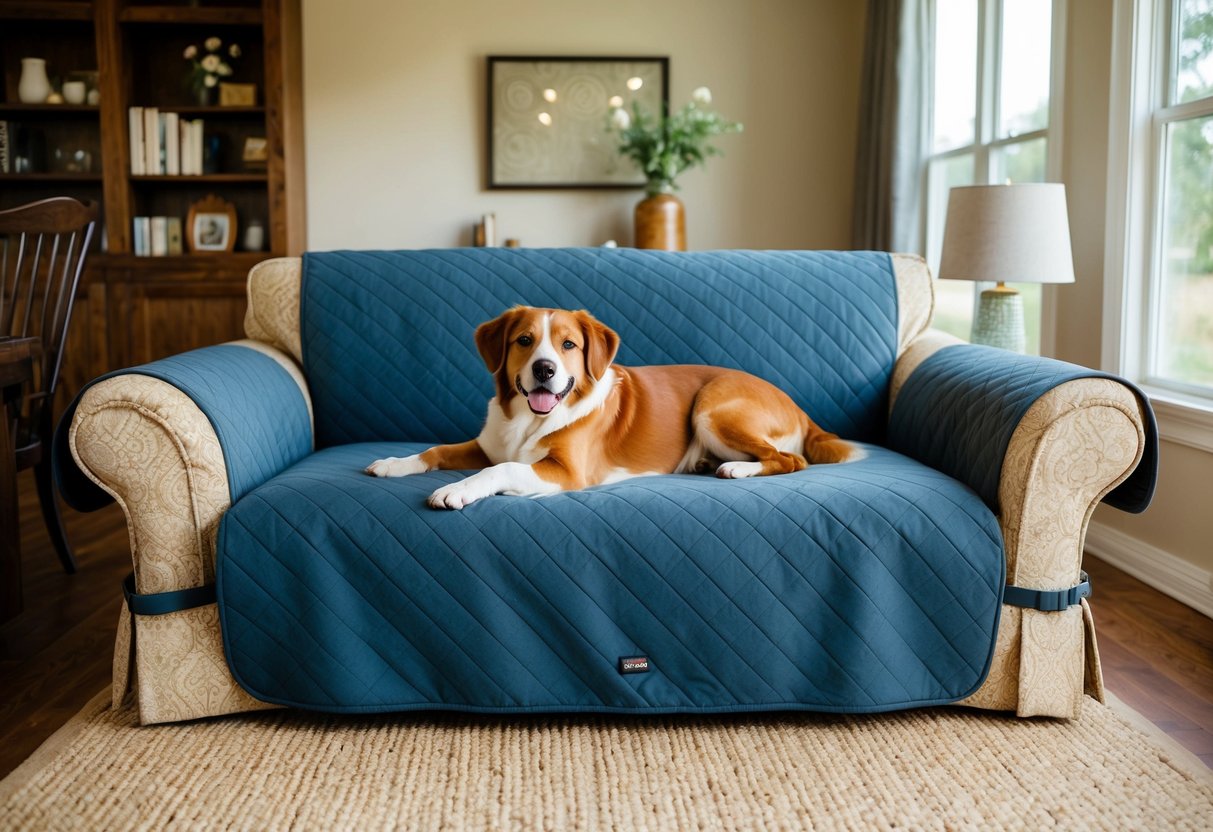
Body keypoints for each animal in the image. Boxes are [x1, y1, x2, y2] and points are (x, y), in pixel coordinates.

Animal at [363, 308, 858, 509]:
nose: (544, 369)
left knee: (789, 459)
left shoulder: (565, 471)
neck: (527, 420)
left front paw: (457, 490)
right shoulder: (486, 444)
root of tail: (797, 406)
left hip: (712, 406)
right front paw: (394, 463)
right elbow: (438, 450)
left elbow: (500, 470)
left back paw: (737, 468)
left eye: (568, 345)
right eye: (524, 340)